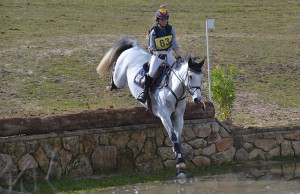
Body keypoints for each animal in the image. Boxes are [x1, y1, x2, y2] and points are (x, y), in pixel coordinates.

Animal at [96, 36, 204, 179]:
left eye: (201, 77)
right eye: (190, 76)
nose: (197, 99)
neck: (174, 89)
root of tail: (135, 47)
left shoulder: (179, 117)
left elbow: (178, 138)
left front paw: (179, 165)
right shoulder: (165, 116)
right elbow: (173, 137)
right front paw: (180, 164)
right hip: (120, 80)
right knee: (115, 75)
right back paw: (111, 84)